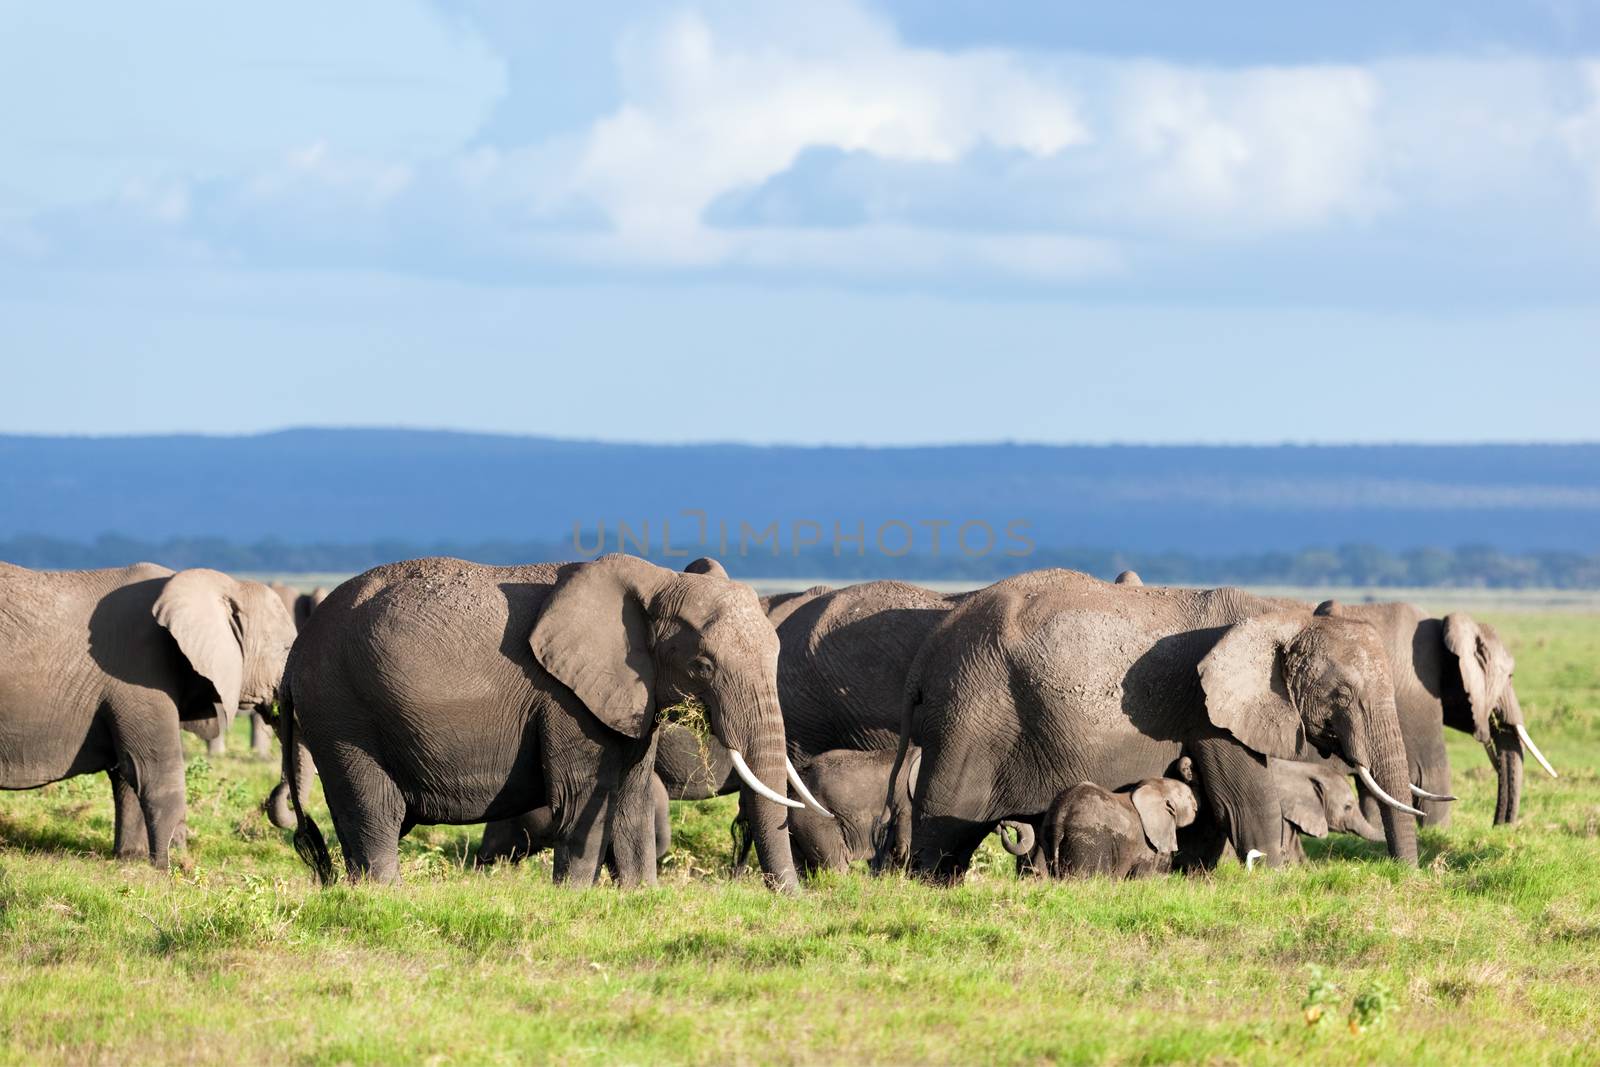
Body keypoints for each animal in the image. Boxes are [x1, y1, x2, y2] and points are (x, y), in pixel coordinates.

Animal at [0, 563, 299, 863]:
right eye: (286, 649)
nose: (279, 799)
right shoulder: (139, 672)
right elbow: (156, 772)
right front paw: (171, 864)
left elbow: (127, 773)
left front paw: (131, 858)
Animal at [278, 556, 825, 889]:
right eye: (703, 666)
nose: (792, 898)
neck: (655, 579)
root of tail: (294, 653)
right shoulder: (566, 699)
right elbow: (582, 797)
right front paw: (576, 898)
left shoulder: (628, 695)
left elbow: (631, 800)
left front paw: (640, 896)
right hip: (341, 712)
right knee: (373, 810)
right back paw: (385, 894)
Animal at [902, 566, 1427, 883]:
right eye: (1343, 695)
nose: (1406, 879)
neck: (1278, 616)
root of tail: (927, 655)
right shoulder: (1209, 708)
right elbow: (1243, 800)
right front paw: (1274, 882)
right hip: (973, 715)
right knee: (943, 827)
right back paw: (927, 887)